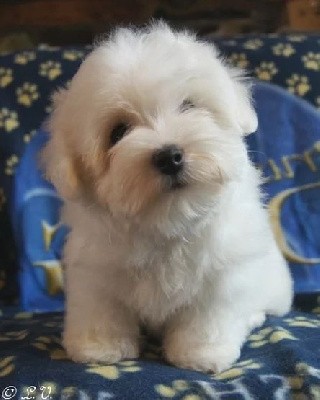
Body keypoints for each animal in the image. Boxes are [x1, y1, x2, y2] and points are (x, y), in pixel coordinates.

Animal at [42, 21, 292, 372]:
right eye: (118, 132)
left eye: (188, 106)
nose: (169, 156)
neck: (169, 221)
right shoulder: (95, 271)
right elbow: (102, 309)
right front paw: (99, 347)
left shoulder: (221, 275)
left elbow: (206, 317)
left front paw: (201, 354)